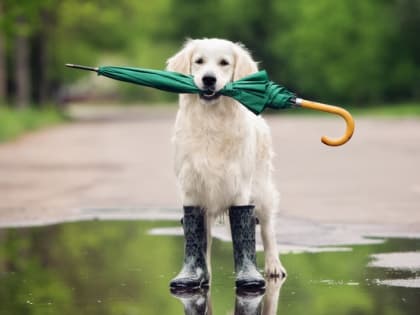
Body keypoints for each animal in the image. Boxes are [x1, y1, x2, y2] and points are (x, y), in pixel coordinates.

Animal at [167, 38, 286, 290]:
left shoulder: (239, 187)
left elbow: (245, 228)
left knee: (268, 230)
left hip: (262, 191)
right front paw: (197, 275)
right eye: (199, 61)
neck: (211, 119)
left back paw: (273, 266)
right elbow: (197, 238)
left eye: (224, 63)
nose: (208, 79)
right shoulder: (191, 188)